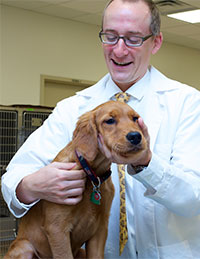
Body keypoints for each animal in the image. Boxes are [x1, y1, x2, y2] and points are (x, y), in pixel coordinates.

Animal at [5, 101, 147, 259]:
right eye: (110, 120)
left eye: (135, 119)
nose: (136, 136)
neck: (92, 175)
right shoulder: (57, 228)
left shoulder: (100, 229)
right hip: (25, 247)